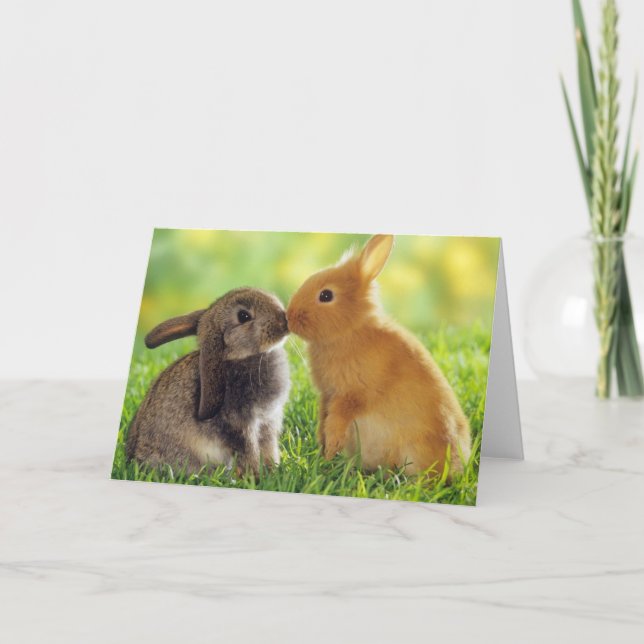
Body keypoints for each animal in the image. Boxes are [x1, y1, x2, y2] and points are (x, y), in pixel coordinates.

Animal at [125, 287, 290, 475]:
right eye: (244, 316)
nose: (283, 320)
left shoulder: (268, 421)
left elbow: (269, 448)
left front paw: (273, 470)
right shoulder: (240, 425)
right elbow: (249, 451)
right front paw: (256, 475)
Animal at [286, 234, 471, 477]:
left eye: (326, 295)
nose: (289, 317)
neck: (350, 331)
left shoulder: (352, 395)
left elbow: (336, 421)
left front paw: (329, 452)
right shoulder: (327, 395)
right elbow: (323, 420)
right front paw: (322, 450)